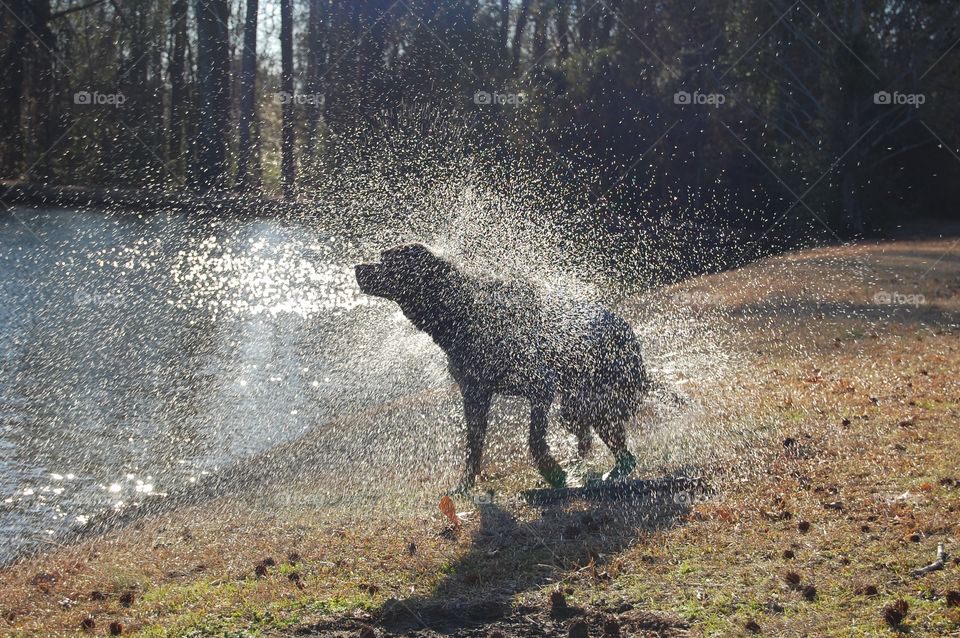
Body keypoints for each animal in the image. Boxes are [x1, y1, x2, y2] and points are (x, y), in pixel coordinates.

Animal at [354, 244, 652, 490]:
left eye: (387, 261)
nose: (357, 268)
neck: (463, 314)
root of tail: (623, 325)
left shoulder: (541, 385)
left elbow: (534, 439)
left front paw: (552, 472)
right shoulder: (474, 395)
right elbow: (473, 446)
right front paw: (464, 485)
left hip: (593, 399)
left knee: (618, 450)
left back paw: (604, 475)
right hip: (576, 406)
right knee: (597, 442)